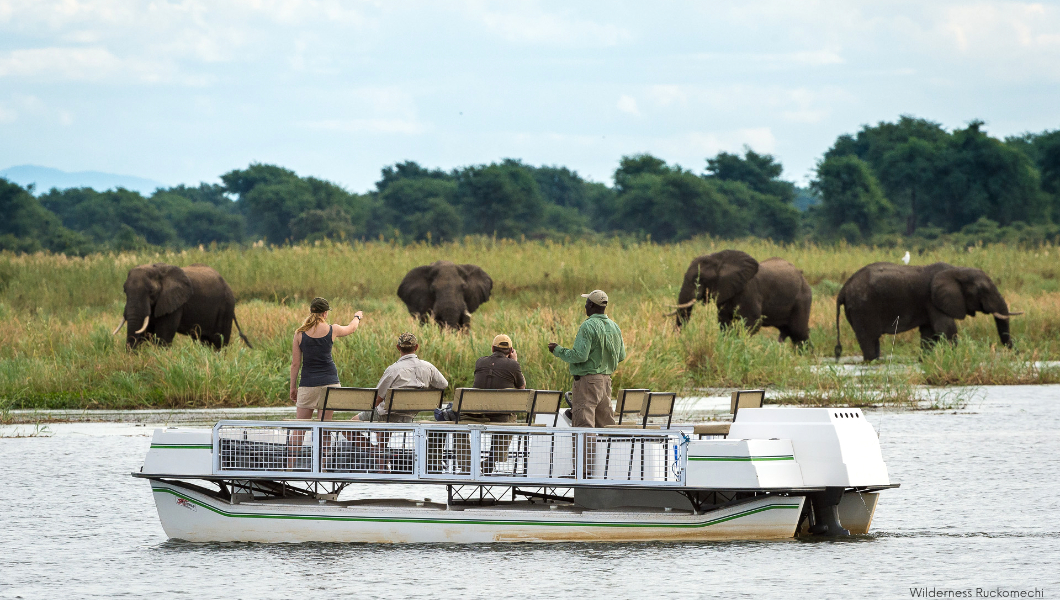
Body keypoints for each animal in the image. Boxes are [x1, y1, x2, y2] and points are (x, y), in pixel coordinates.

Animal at [112, 265, 252, 351]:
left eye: (151, 291)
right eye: (125, 291)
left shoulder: (174, 304)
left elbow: (163, 336)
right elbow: (146, 332)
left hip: (226, 308)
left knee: (219, 341)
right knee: (204, 341)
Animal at [669, 249, 809, 345]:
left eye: (699, 279)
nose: (677, 341)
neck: (719, 260)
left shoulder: (749, 291)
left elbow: (753, 322)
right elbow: (724, 322)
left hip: (802, 299)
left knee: (799, 333)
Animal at [835, 261, 1017, 362]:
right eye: (983, 290)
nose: (1016, 354)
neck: (957, 270)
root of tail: (844, 288)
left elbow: (929, 333)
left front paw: (925, 360)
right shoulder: (933, 300)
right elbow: (946, 328)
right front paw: (954, 358)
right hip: (862, 307)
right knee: (868, 338)